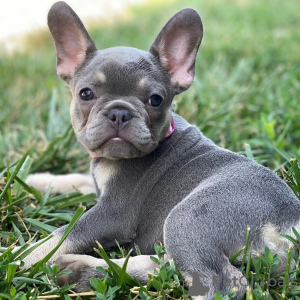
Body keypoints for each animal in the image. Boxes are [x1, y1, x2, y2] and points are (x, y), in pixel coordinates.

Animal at [24, 1, 300, 298]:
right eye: (86, 94)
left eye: (155, 100)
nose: (119, 112)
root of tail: (290, 223)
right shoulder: (98, 184)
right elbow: (79, 179)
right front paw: (39, 179)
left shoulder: (111, 214)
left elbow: (59, 236)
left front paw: (16, 256)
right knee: (165, 264)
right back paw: (80, 271)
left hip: (186, 218)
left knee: (221, 282)